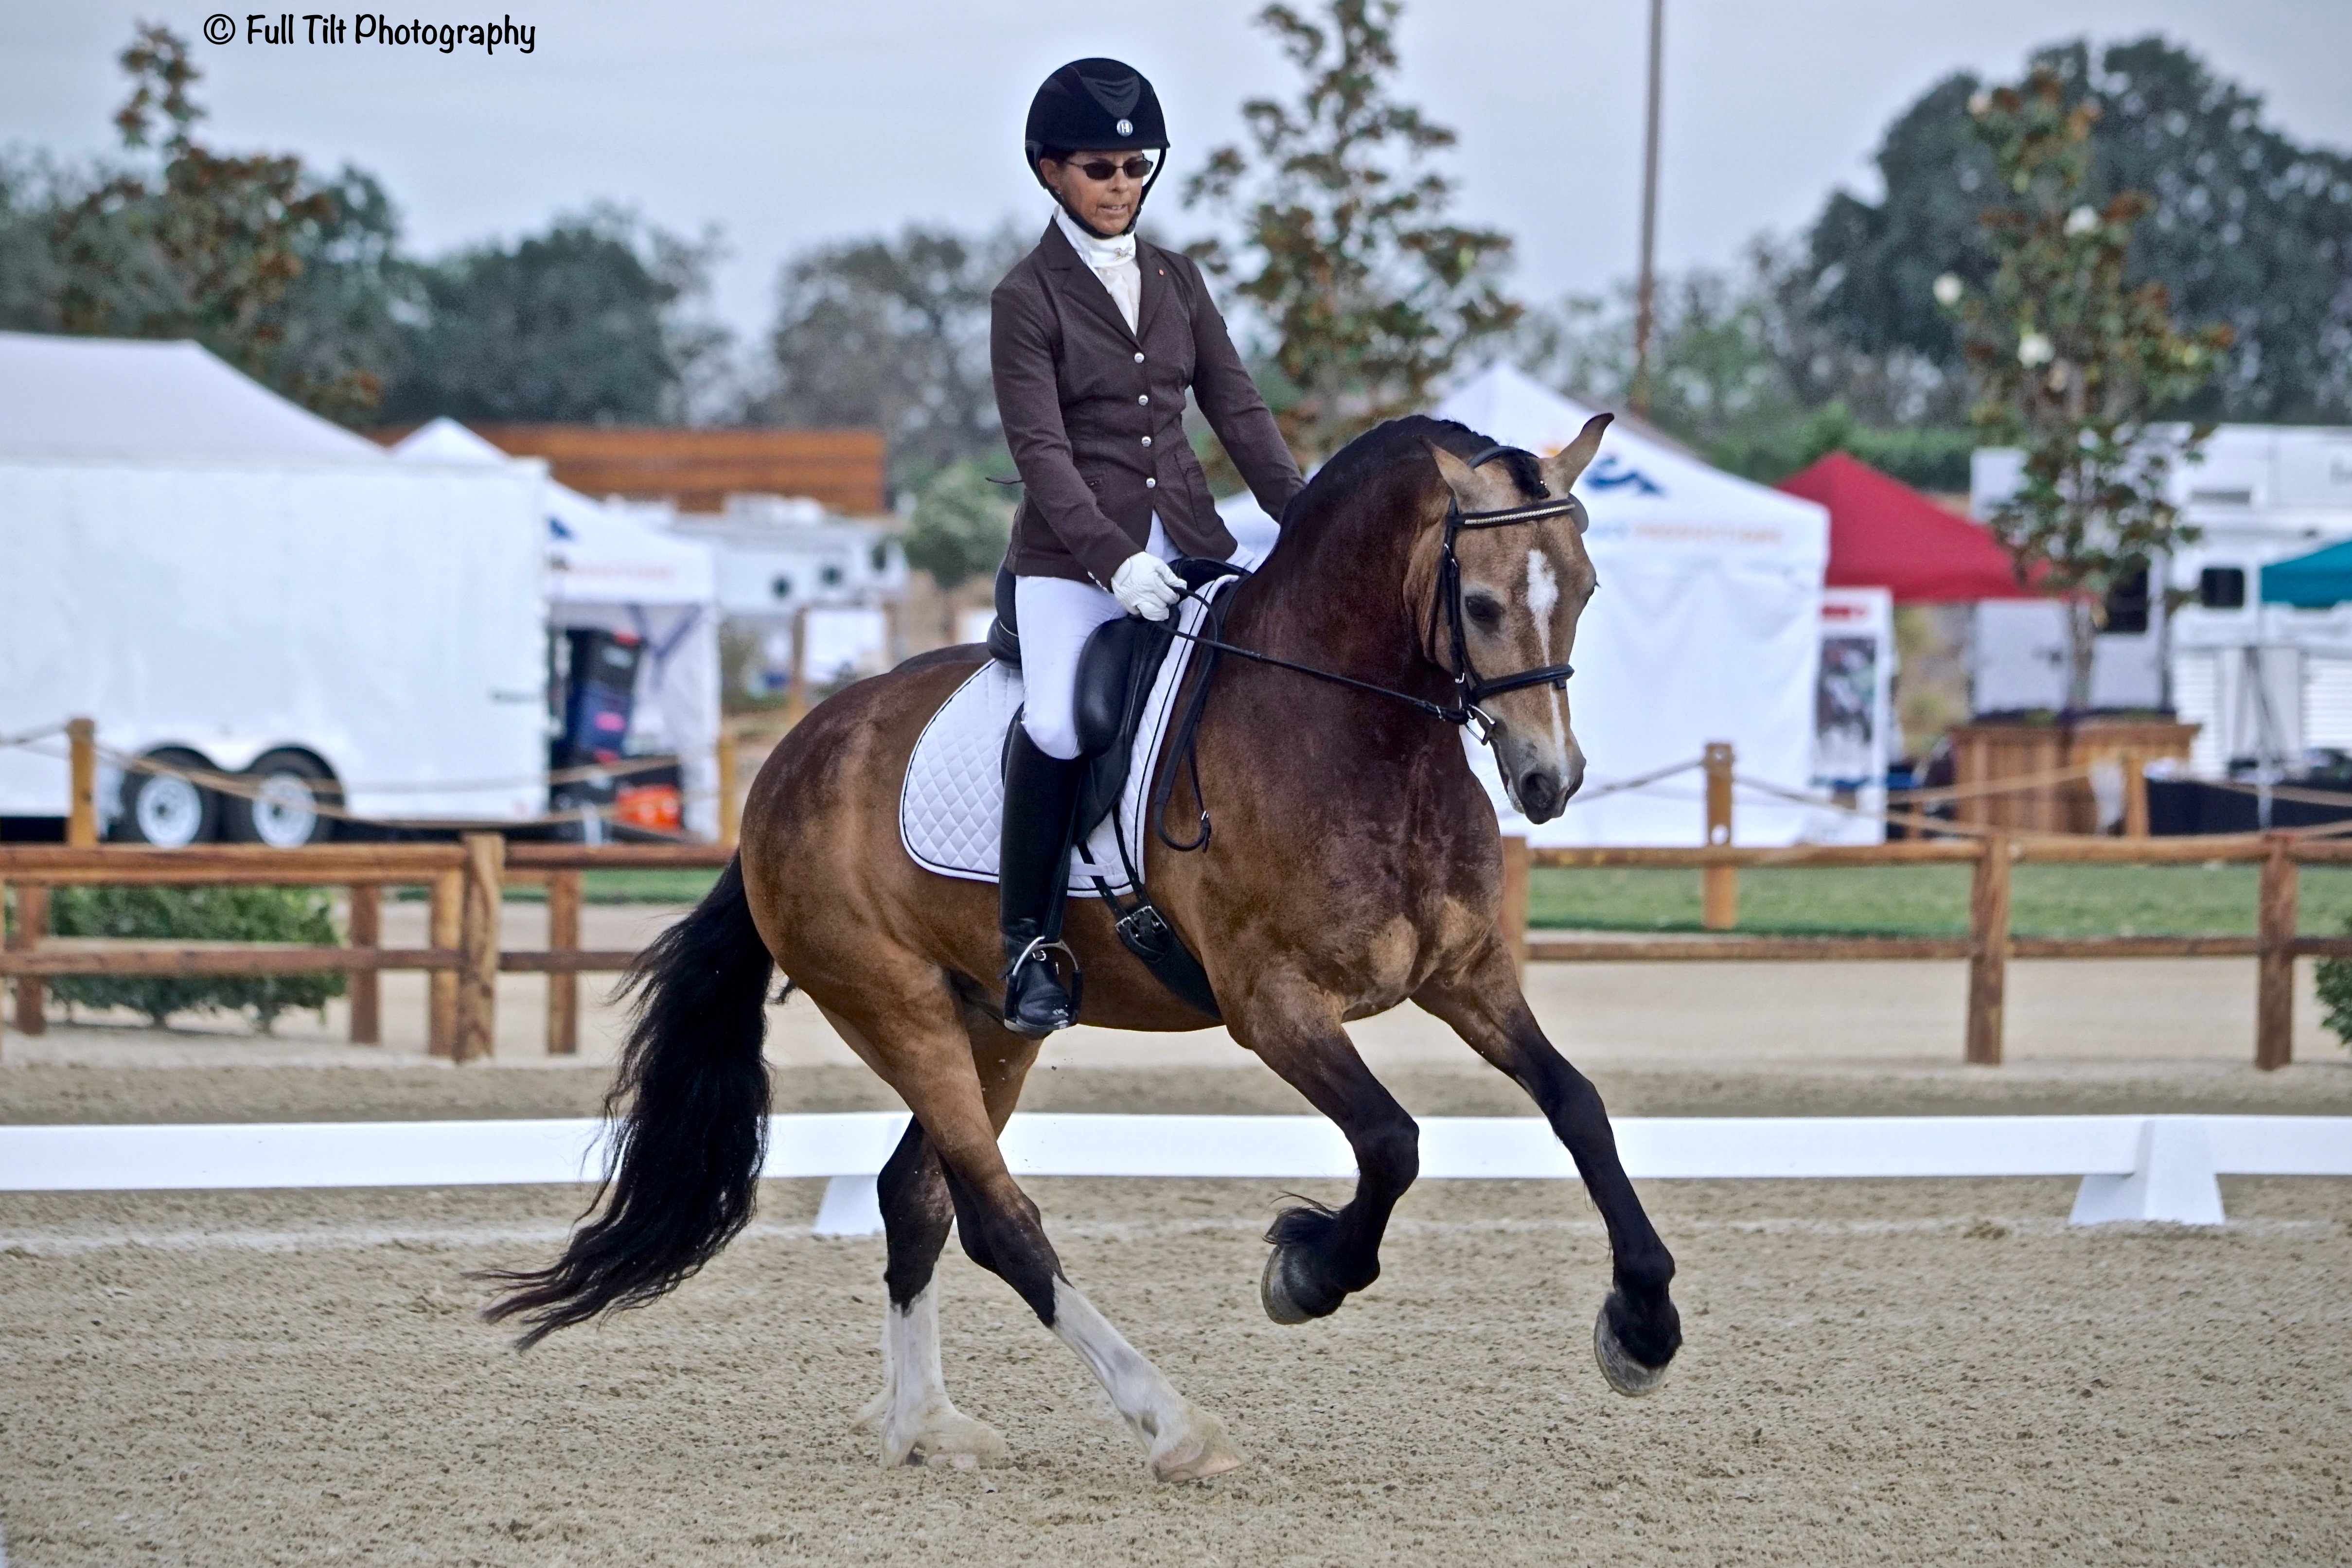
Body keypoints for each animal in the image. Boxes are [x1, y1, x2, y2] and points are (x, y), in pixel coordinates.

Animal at [491, 409, 1674, 1485]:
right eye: (1480, 604)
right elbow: (1393, 1142)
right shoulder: (1274, 1005)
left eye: (1584, 591)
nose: (1549, 781)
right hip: (895, 1007)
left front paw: (1644, 1321)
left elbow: (1578, 1107)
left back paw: (925, 1425)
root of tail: (788, 763)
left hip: (994, 1024)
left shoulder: (1467, 976)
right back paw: (1171, 1423)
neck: (1355, 732)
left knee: (916, 1197)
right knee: (998, 1219)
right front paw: (1306, 1272)